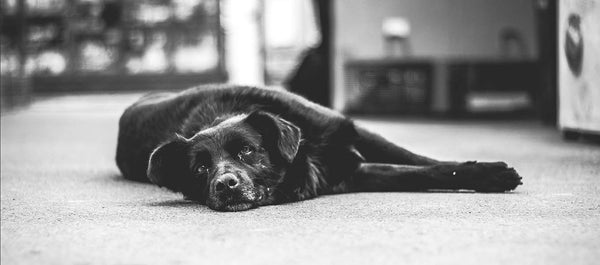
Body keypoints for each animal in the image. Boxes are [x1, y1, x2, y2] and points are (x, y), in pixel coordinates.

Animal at [116, 84, 520, 210]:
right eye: (200, 168)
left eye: (246, 151)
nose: (224, 185)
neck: (305, 150)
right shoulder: (350, 173)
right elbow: (413, 173)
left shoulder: (353, 134)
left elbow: (423, 162)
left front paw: (490, 173)